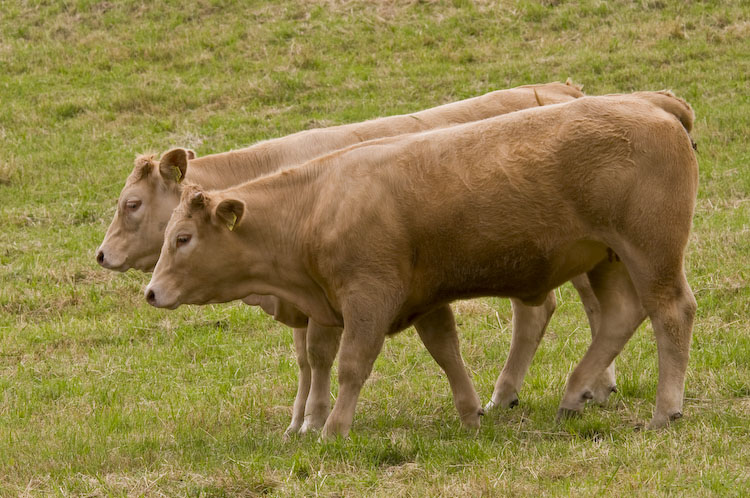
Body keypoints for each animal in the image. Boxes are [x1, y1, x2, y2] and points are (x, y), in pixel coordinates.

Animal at [145, 91, 698, 438]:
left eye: (184, 238)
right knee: (620, 316)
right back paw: (575, 391)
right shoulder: (426, 299)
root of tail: (652, 103)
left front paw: (332, 430)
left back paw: (664, 411)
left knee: (670, 313)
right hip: (607, 259)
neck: (320, 202)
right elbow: (446, 352)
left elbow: (351, 364)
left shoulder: (368, 300)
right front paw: (471, 415)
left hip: (651, 254)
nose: (151, 292)